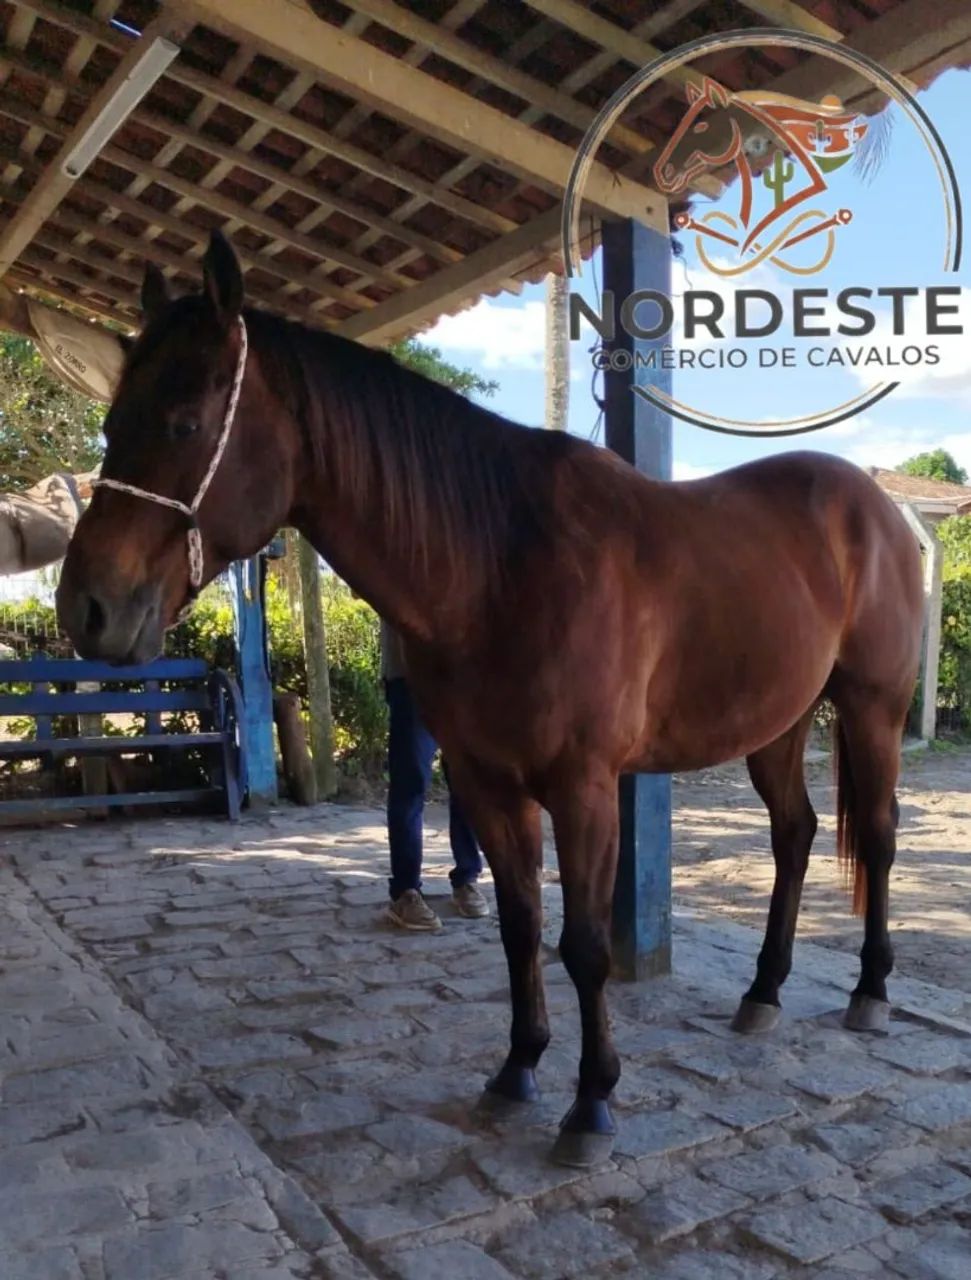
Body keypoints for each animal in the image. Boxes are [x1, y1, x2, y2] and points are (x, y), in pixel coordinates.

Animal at [56, 230, 924, 1167]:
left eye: (184, 421)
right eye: (111, 424)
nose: (86, 608)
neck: (504, 561)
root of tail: (879, 507)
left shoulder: (584, 790)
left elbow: (583, 946)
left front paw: (591, 1104)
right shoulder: (483, 782)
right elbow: (517, 928)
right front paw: (518, 1070)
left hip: (871, 710)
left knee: (877, 838)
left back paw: (871, 993)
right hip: (777, 722)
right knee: (793, 835)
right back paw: (762, 992)